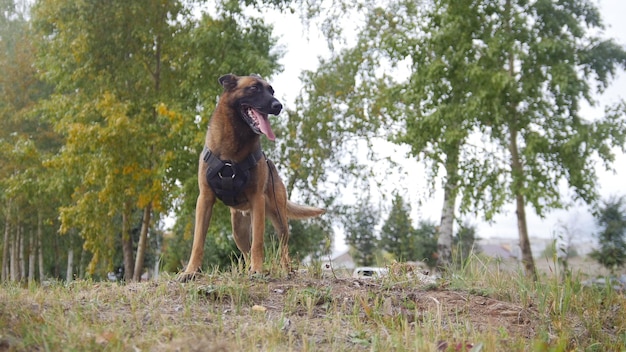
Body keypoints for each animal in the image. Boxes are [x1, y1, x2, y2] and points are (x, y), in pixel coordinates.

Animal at [176, 74, 322, 280]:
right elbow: (198, 242)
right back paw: (245, 270)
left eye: (271, 91)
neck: (235, 143)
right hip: (238, 230)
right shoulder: (204, 199)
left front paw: (258, 269)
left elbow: (258, 242)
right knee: (245, 251)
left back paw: (285, 270)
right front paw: (190, 271)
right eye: (254, 88)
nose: (278, 106)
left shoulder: (257, 200)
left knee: (283, 247)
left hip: (279, 219)